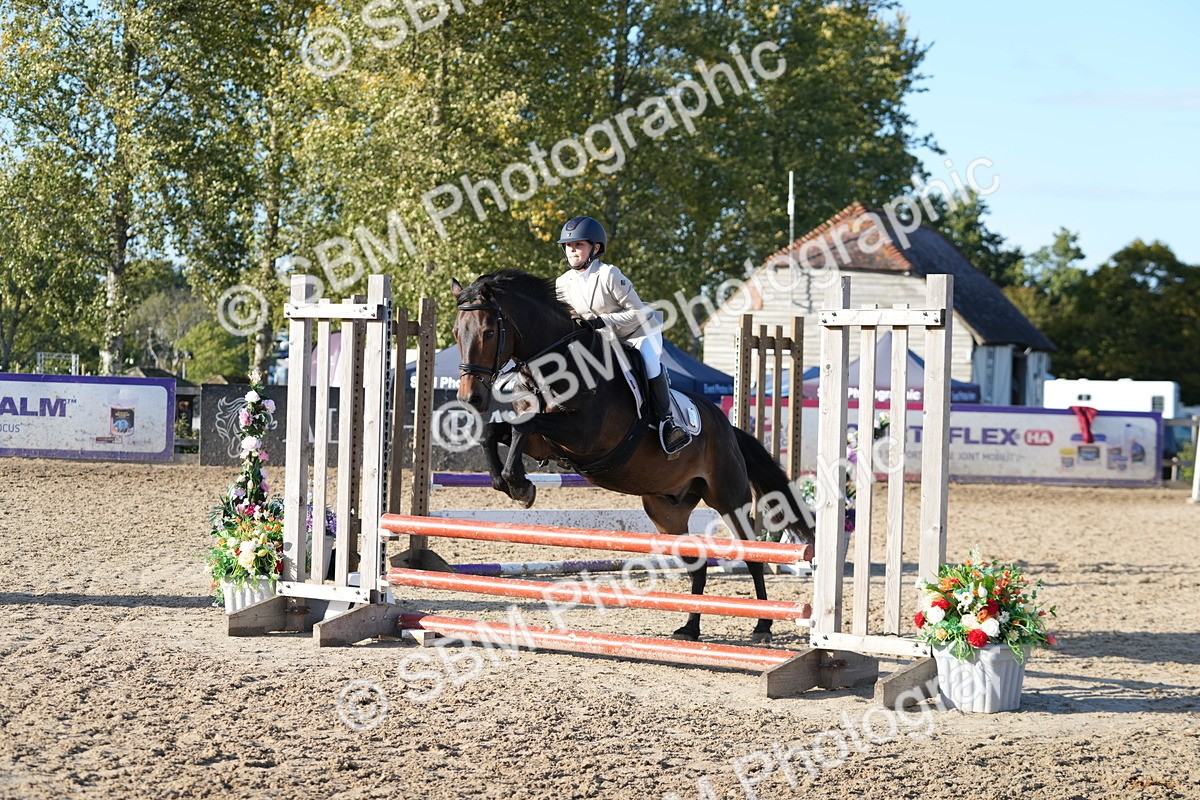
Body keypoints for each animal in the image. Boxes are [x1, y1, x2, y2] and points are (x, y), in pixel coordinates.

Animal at [451, 268, 814, 644]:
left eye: (488, 332)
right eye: (455, 332)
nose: (470, 398)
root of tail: (727, 426)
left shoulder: (583, 435)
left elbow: (524, 424)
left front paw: (520, 486)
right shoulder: (545, 442)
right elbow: (498, 430)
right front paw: (510, 483)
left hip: (729, 497)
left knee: (752, 553)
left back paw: (763, 624)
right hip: (666, 511)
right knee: (697, 563)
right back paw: (690, 628)